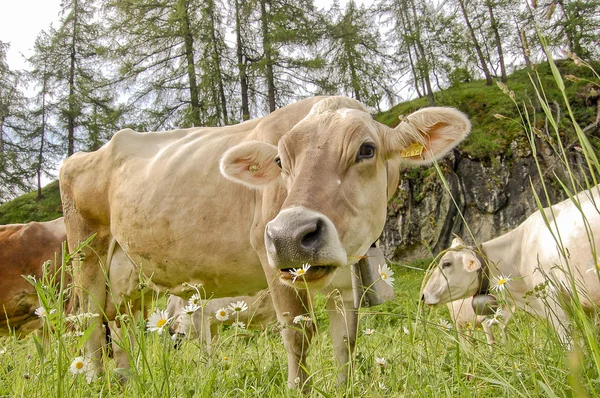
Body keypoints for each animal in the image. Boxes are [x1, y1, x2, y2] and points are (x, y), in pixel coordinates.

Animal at [61, 94, 472, 386]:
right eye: (279, 162)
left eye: (366, 149)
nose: (290, 235)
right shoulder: (274, 263)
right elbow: (298, 335)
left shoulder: (346, 282)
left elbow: (345, 342)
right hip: (86, 254)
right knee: (89, 324)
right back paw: (94, 382)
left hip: (133, 276)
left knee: (120, 327)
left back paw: (126, 382)